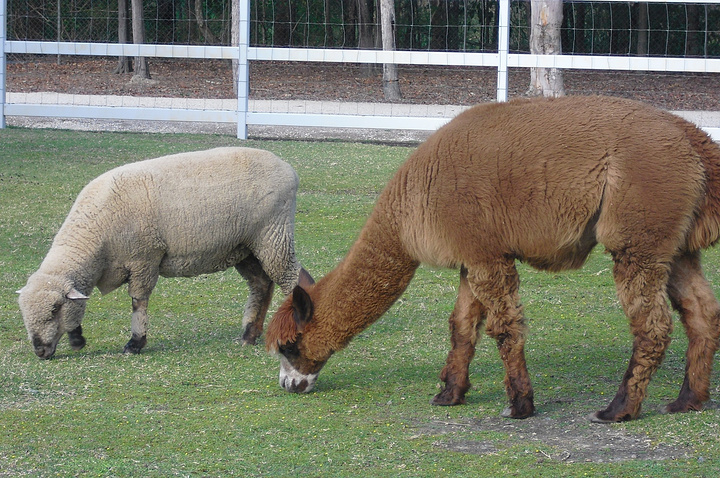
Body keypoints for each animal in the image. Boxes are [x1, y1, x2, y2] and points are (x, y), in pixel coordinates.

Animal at [16, 146, 312, 358]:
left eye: (55, 309)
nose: (39, 351)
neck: (95, 239)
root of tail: (289, 169)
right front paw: (77, 338)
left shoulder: (144, 258)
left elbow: (138, 301)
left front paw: (135, 343)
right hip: (246, 246)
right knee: (262, 284)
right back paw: (249, 335)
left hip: (273, 235)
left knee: (294, 279)